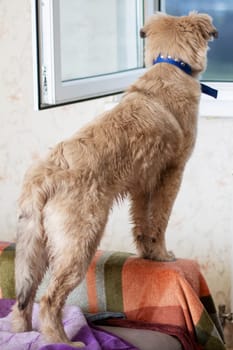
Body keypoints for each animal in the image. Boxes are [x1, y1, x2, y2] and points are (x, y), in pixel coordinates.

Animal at [11, 11, 218, 348]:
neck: (172, 65)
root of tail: (45, 176)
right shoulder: (171, 174)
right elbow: (160, 223)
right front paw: (162, 256)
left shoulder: (142, 185)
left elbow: (142, 224)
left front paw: (148, 255)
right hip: (79, 243)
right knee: (49, 299)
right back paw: (62, 340)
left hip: (34, 247)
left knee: (23, 300)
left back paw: (24, 335)